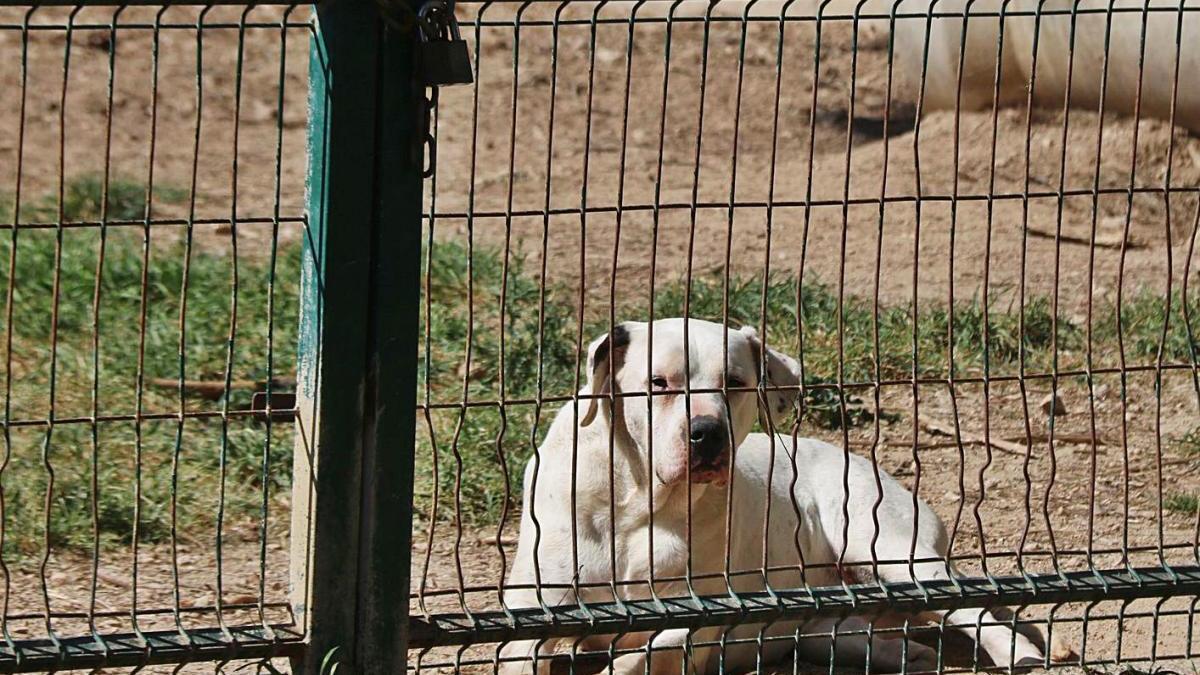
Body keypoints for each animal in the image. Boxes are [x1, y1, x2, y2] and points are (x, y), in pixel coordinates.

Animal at [496, 317, 1041, 667]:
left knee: (972, 609)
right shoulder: (530, 618)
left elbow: (650, 651)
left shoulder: (697, 615)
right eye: (658, 383)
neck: (639, 500)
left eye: (735, 382)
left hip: (890, 548)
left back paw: (1021, 653)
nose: (707, 433)